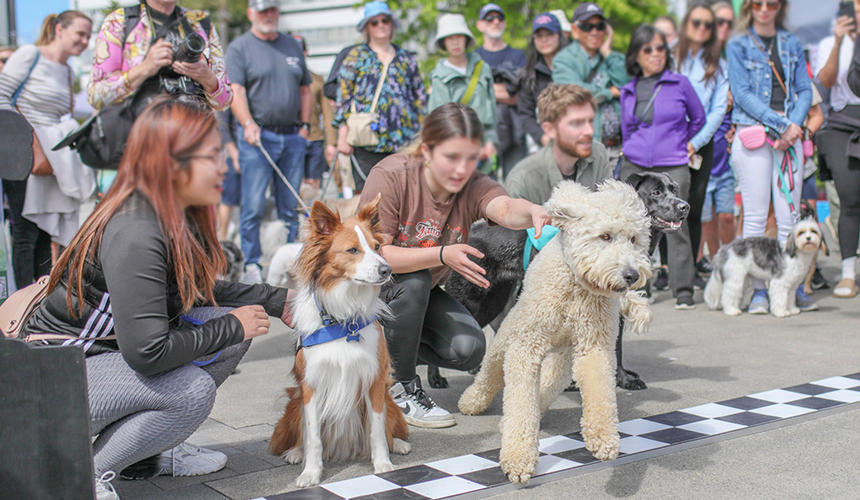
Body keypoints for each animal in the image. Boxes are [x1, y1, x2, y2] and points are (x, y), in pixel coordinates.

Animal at [434, 172, 688, 390]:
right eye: (656, 192)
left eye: (674, 189)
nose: (685, 206)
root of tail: (467, 235)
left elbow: (616, 349)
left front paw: (622, 378)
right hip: (471, 301)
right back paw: (435, 380)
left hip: (495, 301)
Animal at [456, 181, 652, 484]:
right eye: (605, 236)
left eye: (633, 239)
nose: (631, 275)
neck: (575, 286)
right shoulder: (524, 348)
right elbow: (520, 400)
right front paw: (518, 458)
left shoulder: (594, 347)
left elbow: (600, 392)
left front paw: (603, 438)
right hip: (509, 329)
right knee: (491, 369)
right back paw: (472, 401)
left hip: (563, 356)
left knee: (549, 382)